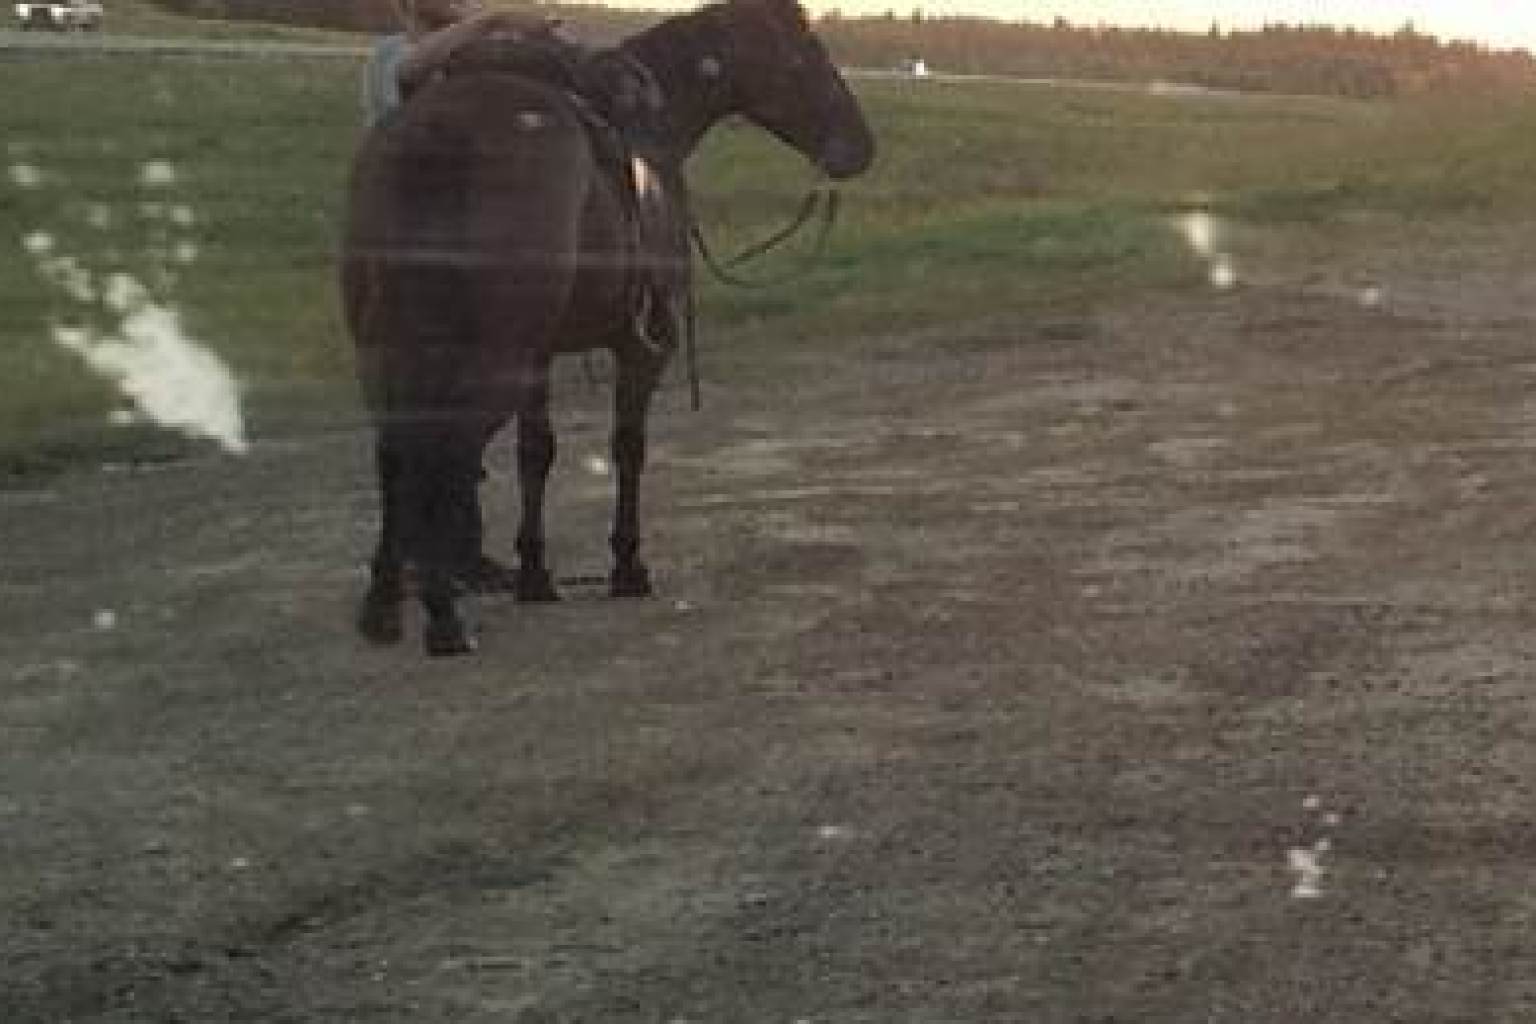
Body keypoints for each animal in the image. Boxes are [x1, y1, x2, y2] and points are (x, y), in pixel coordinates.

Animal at [341, 0, 875, 655]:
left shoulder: (540, 358)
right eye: (807, 51)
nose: (860, 145)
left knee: (396, 454)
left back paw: (384, 604)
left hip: (390, 351)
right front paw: (628, 567)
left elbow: (535, 454)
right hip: (486, 360)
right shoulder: (643, 347)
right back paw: (443, 618)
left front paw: (536, 576)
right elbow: (627, 448)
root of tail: (437, 134)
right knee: (441, 453)